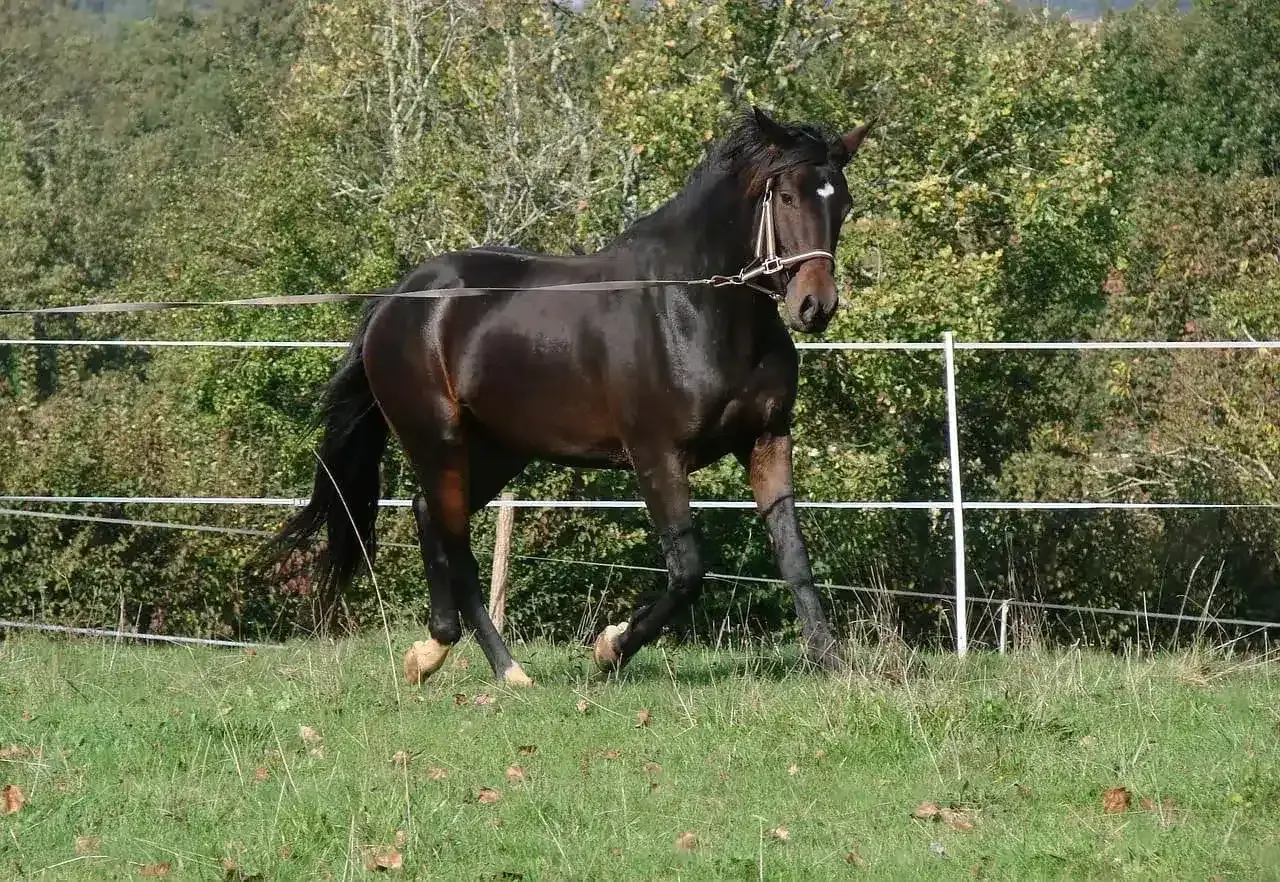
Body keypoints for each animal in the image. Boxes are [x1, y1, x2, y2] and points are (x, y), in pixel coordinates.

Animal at [270, 107, 875, 686]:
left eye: (843, 203)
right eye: (788, 195)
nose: (815, 306)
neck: (695, 308)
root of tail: (398, 298)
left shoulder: (767, 439)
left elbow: (793, 555)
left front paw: (832, 664)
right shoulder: (656, 454)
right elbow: (687, 571)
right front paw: (611, 649)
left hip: (501, 450)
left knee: (428, 515)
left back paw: (439, 654)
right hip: (436, 440)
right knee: (454, 540)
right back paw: (502, 669)